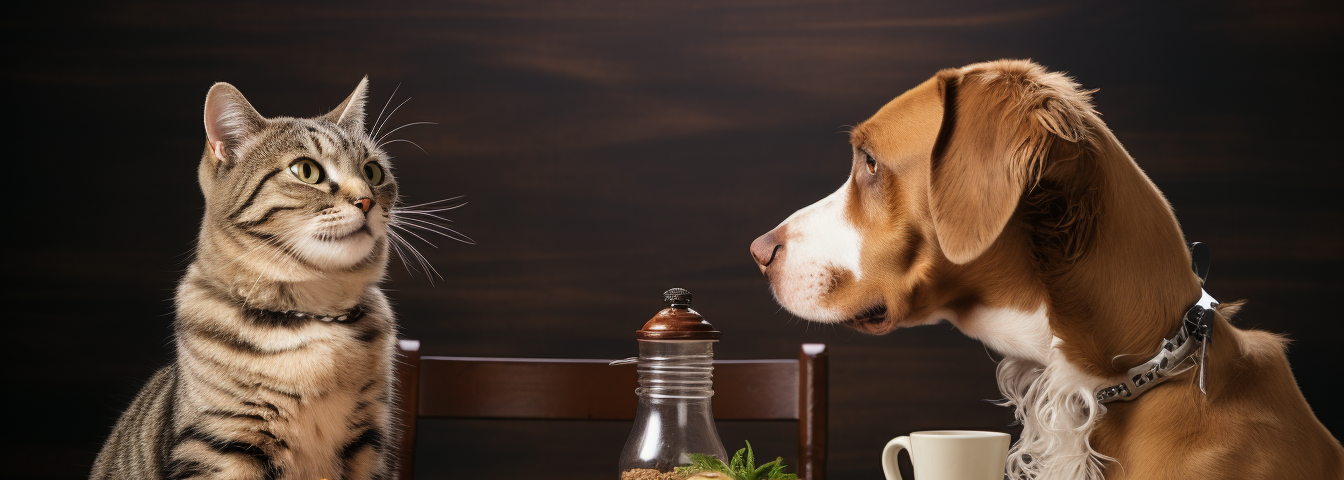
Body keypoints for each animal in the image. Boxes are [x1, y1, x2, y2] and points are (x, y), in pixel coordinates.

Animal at [93, 78, 403, 478]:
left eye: (373, 172)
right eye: (307, 171)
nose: (367, 201)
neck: (315, 316)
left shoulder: (370, 443)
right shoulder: (221, 444)